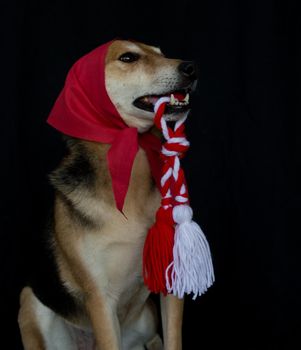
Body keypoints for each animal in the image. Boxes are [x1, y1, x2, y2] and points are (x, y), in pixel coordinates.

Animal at [18, 39, 197, 348]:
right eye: (128, 58)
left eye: (160, 53)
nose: (191, 67)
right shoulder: (100, 299)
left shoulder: (172, 277)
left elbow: (173, 339)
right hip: (30, 301)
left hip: (146, 320)